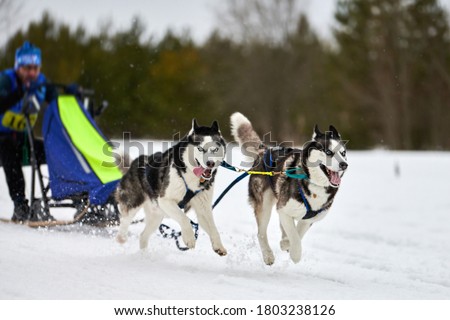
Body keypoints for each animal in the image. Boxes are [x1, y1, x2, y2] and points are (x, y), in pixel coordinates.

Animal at [115, 119, 227, 256]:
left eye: (215, 149)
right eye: (200, 148)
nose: (210, 163)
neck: (191, 177)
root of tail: (135, 162)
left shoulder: (203, 208)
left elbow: (213, 228)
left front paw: (219, 246)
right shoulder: (165, 200)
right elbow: (184, 218)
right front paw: (189, 238)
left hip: (157, 215)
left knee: (143, 236)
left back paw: (144, 255)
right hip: (135, 202)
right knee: (125, 219)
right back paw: (121, 238)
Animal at [232, 112, 348, 264]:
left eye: (343, 153)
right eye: (328, 152)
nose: (344, 165)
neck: (313, 182)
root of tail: (264, 151)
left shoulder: (308, 219)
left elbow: (298, 232)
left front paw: (287, 244)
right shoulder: (283, 209)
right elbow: (294, 236)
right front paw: (294, 252)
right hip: (265, 204)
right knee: (261, 233)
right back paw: (268, 255)